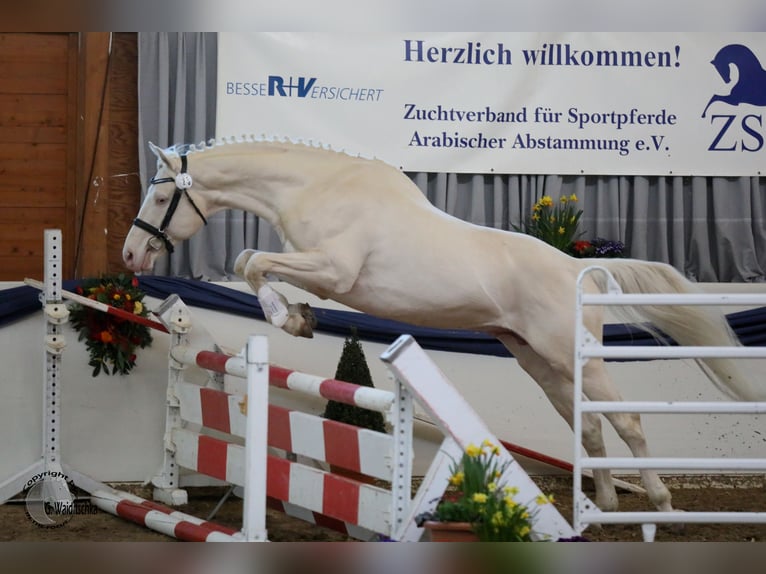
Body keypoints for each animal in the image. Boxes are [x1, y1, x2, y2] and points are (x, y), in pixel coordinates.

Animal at [121, 138, 760, 516]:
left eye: (157, 197)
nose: (130, 255)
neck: (319, 188)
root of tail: (581, 269)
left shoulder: (333, 271)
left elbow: (250, 261)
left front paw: (291, 317)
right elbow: (247, 261)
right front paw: (298, 317)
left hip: (570, 354)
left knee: (624, 421)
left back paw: (660, 503)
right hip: (540, 362)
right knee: (589, 425)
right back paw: (599, 507)